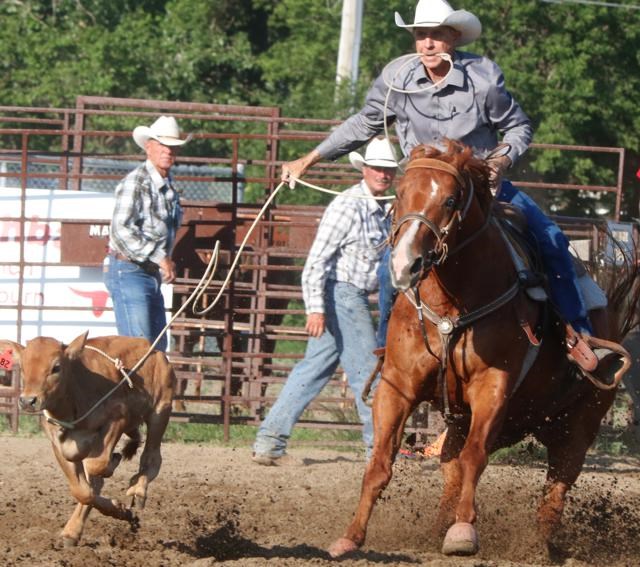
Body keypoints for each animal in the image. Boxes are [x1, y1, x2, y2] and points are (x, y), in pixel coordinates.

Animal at [5, 332, 175, 544]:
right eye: (23, 367)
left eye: (56, 367)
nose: (28, 401)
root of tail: (154, 351)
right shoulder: (59, 445)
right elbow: (83, 491)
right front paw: (118, 509)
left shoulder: (118, 418)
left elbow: (95, 467)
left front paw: (111, 469)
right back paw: (72, 531)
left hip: (160, 411)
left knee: (151, 458)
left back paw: (137, 488)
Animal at [330, 141, 636, 560]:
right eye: (401, 193)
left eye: (450, 199)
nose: (405, 264)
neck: (450, 306)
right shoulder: (397, 386)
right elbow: (380, 461)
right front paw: (351, 536)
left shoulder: (493, 387)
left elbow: (476, 457)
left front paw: (463, 532)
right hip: (464, 419)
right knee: (451, 468)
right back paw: (438, 527)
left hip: (580, 424)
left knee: (556, 486)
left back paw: (539, 545)